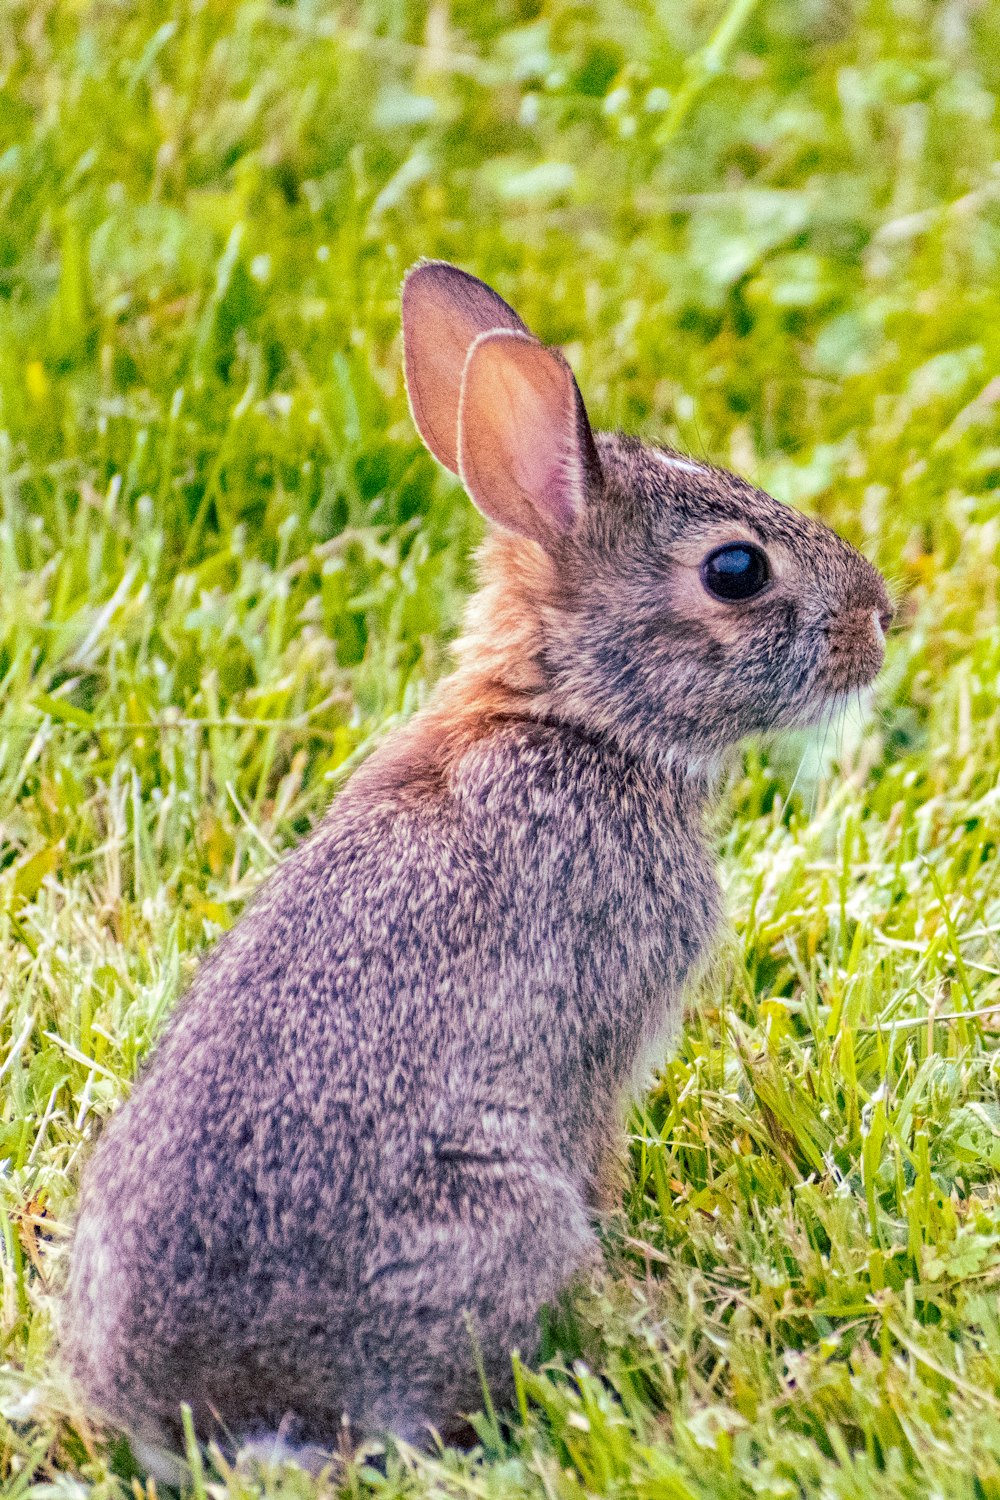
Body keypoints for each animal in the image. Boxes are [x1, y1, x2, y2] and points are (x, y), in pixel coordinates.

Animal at [62, 264, 893, 1470]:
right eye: (736, 570)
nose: (880, 620)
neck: (574, 719)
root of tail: (204, 1411)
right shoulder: (601, 1039)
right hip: (493, 1213)